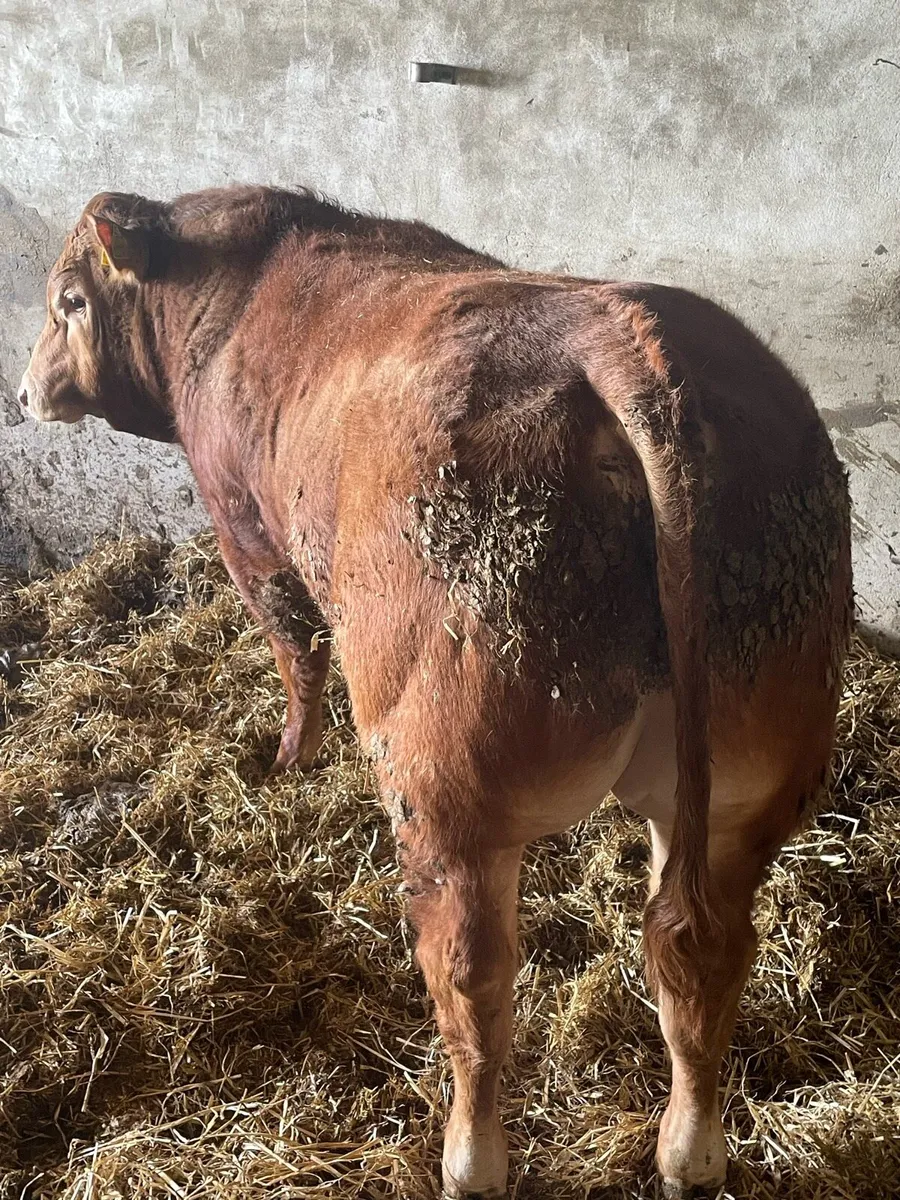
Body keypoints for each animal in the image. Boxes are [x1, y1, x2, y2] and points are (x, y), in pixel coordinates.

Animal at [18, 186, 852, 1198]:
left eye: (68, 299)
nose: (24, 393)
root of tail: (625, 336)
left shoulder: (246, 530)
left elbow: (296, 651)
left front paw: (290, 759)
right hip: (743, 779)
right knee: (697, 945)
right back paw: (689, 1154)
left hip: (445, 782)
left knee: (473, 975)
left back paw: (469, 1159)